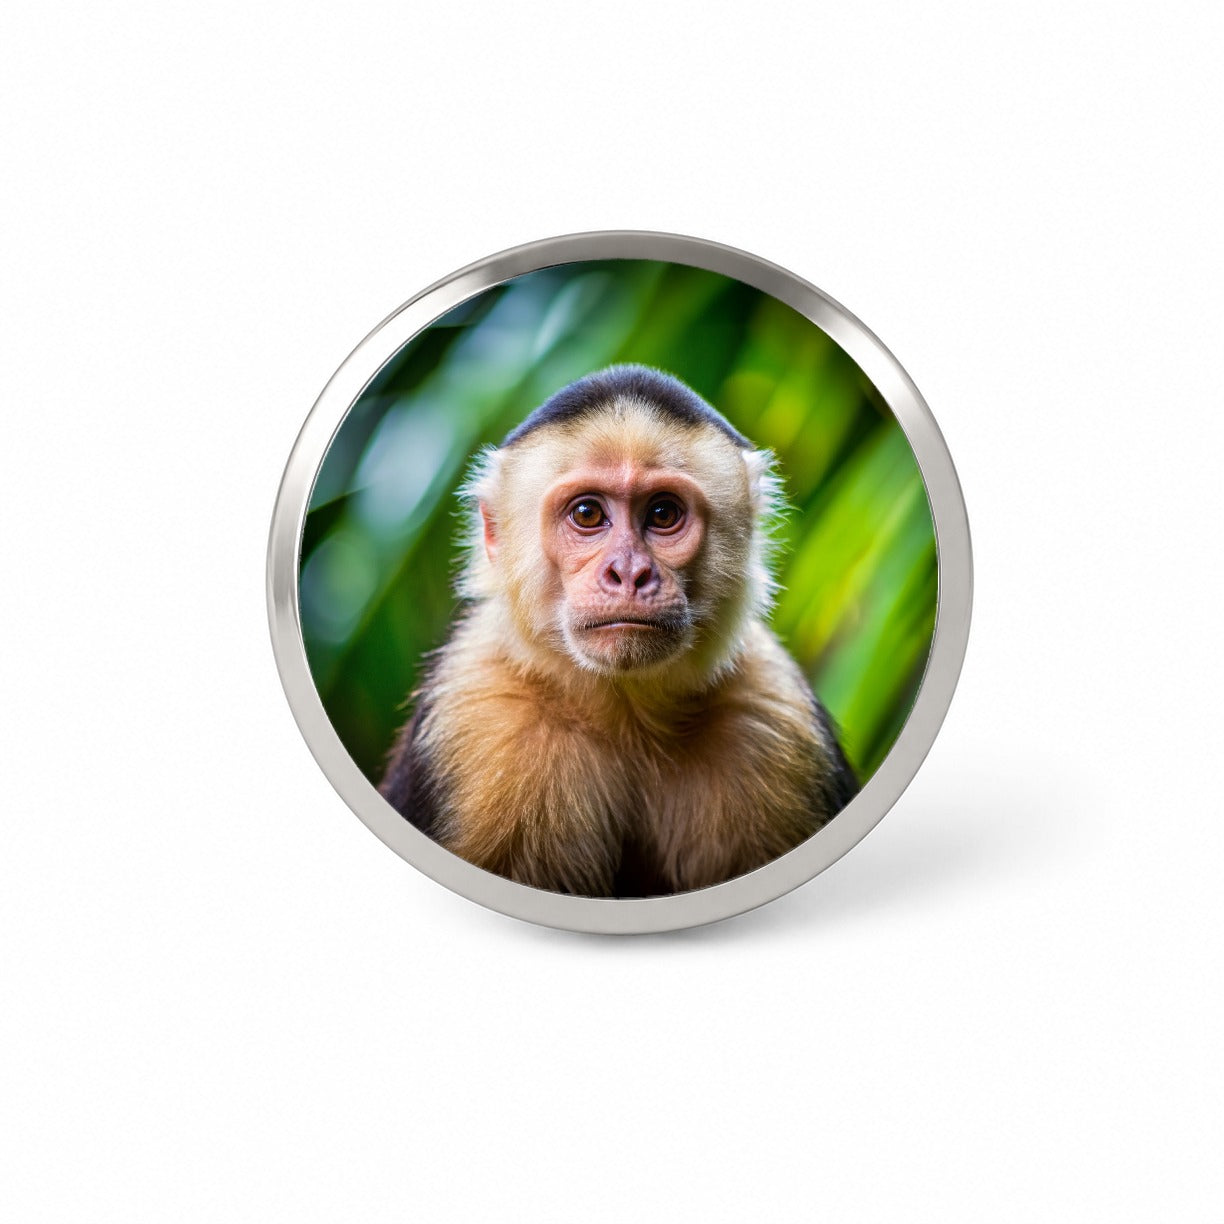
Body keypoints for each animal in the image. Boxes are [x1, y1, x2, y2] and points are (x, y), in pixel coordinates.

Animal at [379, 364, 858, 897]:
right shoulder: (474, 712)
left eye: (663, 514)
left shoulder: (775, 712)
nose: (629, 572)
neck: (626, 718)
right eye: (588, 514)